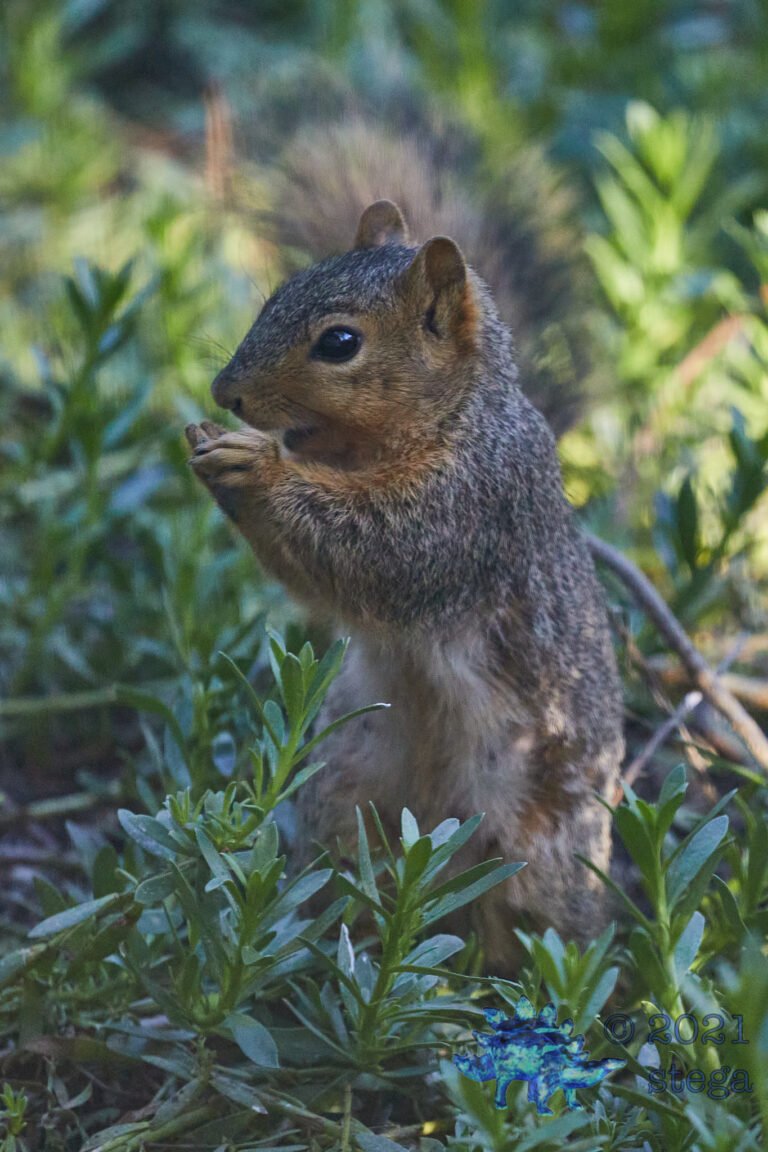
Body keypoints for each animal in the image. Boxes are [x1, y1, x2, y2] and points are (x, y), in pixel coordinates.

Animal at [185, 132, 624, 971]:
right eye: (276, 295)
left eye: (340, 342)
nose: (226, 393)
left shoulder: (467, 510)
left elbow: (378, 555)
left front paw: (255, 468)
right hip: (347, 783)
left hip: (533, 842)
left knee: (532, 925)